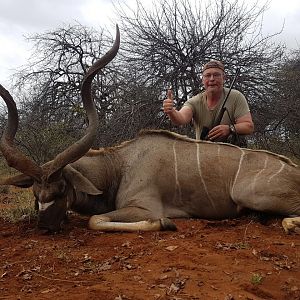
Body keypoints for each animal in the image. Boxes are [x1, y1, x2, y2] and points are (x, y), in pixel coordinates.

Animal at [0, 25, 300, 234]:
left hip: (251, 194)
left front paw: (166, 223)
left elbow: (96, 220)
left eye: (62, 188)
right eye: (35, 192)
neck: (119, 166)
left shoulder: (143, 206)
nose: (45, 227)